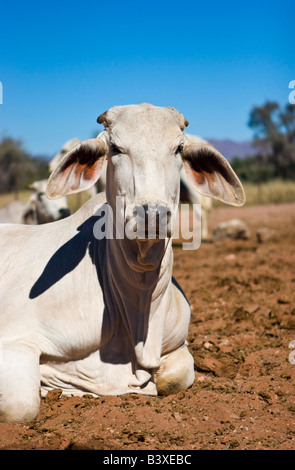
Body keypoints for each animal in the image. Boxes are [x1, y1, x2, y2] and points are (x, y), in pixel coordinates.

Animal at [0, 103, 246, 422]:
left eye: (179, 148)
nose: (152, 214)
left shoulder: (177, 344)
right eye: (115, 148)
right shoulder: (15, 340)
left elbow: (176, 377)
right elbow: (20, 406)